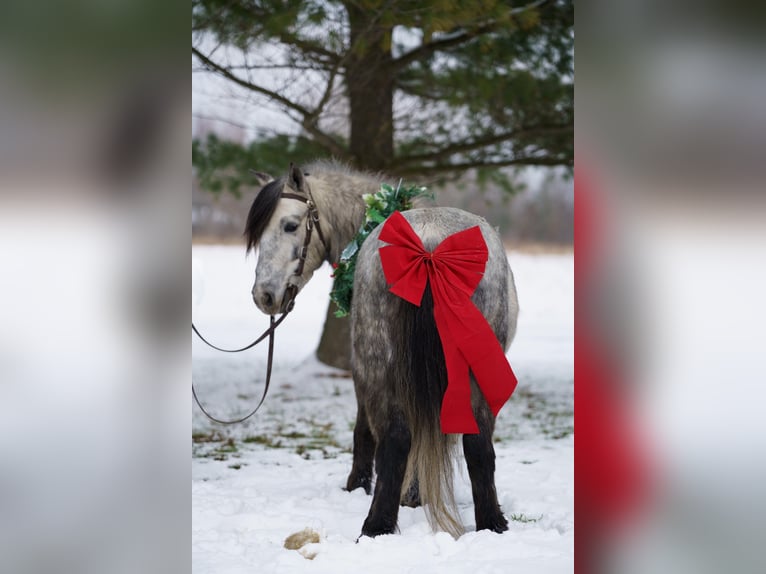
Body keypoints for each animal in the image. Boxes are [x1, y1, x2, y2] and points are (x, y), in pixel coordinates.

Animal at [245, 161, 519, 538]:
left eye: (290, 225)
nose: (264, 296)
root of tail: (428, 247)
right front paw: (414, 494)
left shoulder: (363, 374)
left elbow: (364, 432)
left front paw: (362, 487)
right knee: (476, 443)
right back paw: (491, 523)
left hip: (375, 365)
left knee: (394, 439)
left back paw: (376, 526)